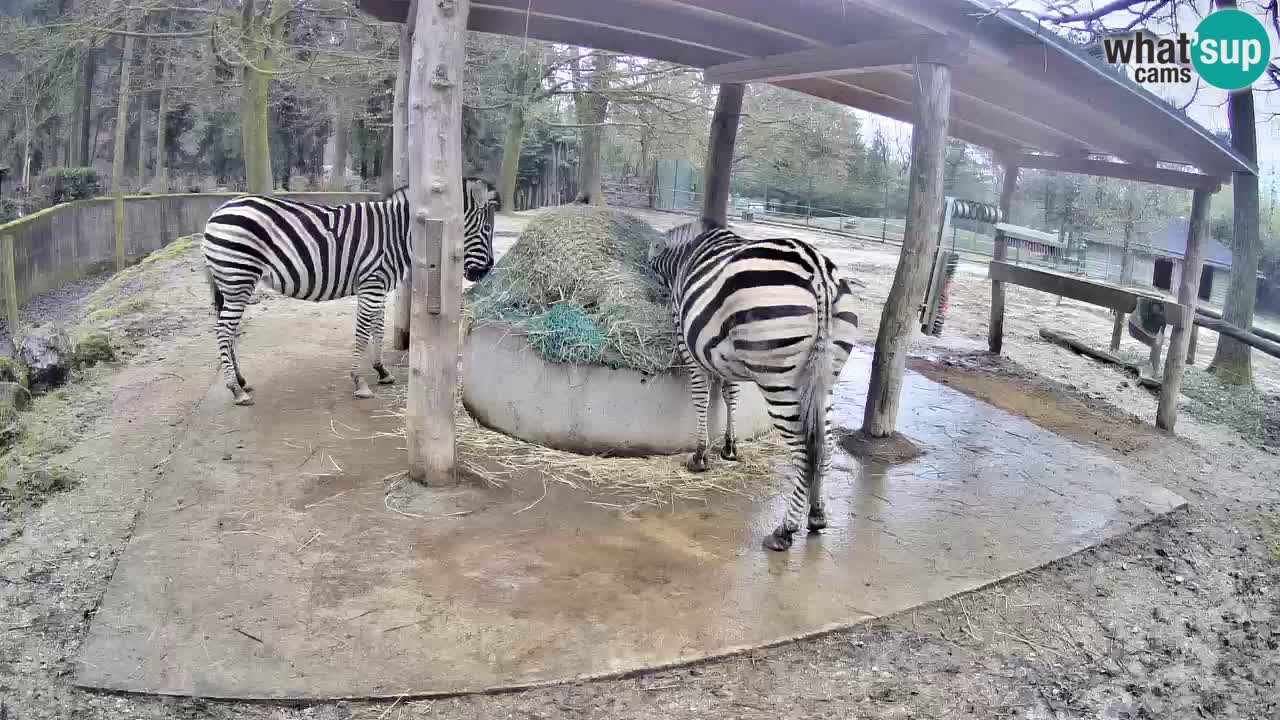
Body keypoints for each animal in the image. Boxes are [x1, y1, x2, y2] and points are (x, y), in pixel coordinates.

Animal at [201, 177, 500, 406]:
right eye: (486, 229)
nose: (486, 272)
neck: (399, 234)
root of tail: (217, 212)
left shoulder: (379, 285)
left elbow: (377, 328)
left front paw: (381, 370)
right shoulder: (371, 284)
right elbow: (362, 332)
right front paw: (359, 382)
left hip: (232, 283)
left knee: (228, 331)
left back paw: (241, 381)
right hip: (239, 277)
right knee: (223, 331)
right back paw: (235, 389)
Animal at [648, 219, 860, 551]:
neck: (684, 257)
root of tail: (819, 272)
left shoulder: (689, 345)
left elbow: (701, 397)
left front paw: (700, 455)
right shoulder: (724, 354)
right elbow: (730, 394)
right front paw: (729, 446)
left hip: (779, 378)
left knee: (804, 454)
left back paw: (785, 530)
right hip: (825, 377)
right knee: (823, 446)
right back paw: (816, 515)